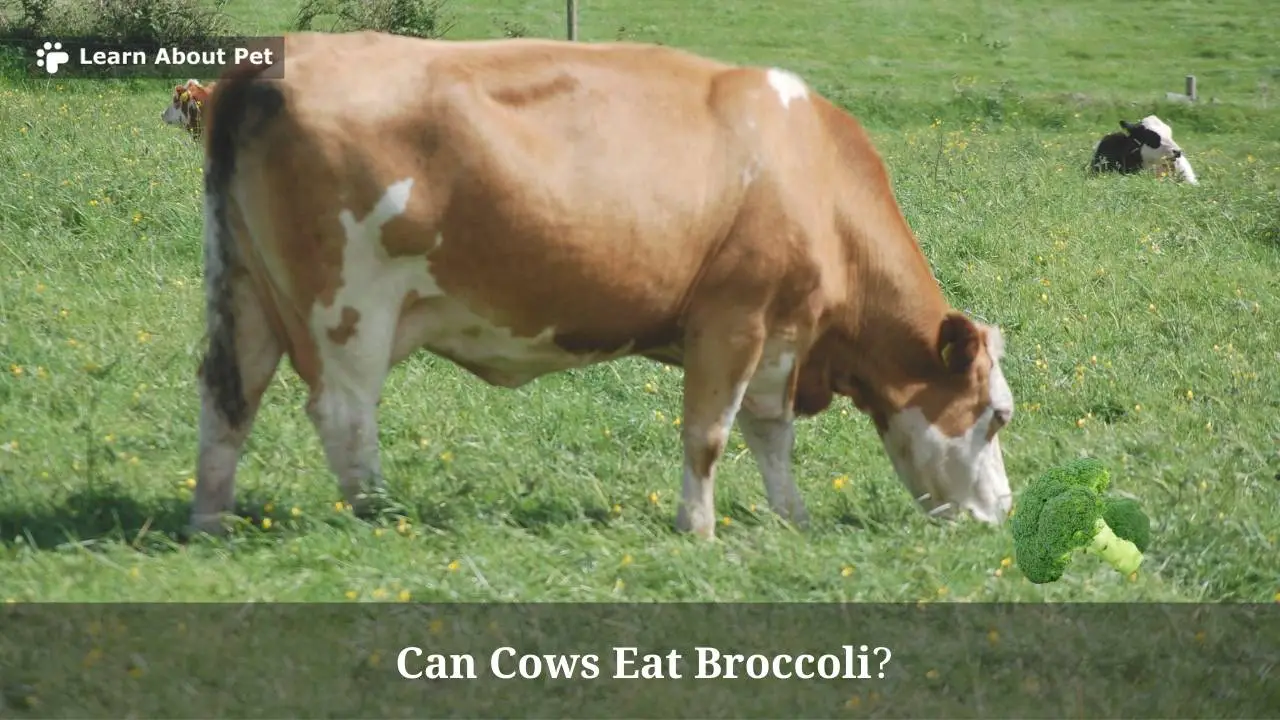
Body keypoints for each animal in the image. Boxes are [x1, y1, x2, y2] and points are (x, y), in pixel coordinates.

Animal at [190, 32, 1016, 541]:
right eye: (997, 415)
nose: (1006, 510)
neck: (811, 167)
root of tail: (267, 62)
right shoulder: (734, 317)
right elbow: (710, 433)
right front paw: (698, 527)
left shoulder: (783, 330)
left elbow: (768, 431)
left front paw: (793, 518)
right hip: (350, 306)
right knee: (344, 412)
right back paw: (378, 514)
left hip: (245, 291)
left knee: (228, 397)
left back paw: (211, 518)